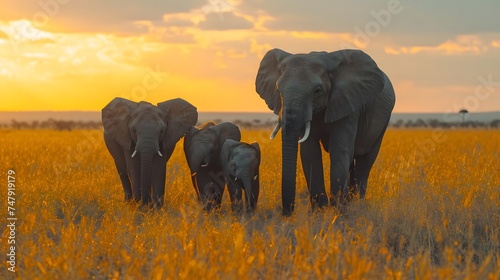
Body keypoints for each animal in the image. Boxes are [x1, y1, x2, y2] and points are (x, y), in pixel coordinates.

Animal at [256, 48, 396, 215]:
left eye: (317, 90)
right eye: (278, 90)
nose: (287, 213)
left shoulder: (348, 104)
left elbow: (339, 150)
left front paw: (337, 212)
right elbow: (310, 153)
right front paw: (320, 212)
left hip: (383, 121)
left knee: (365, 161)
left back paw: (357, 205)